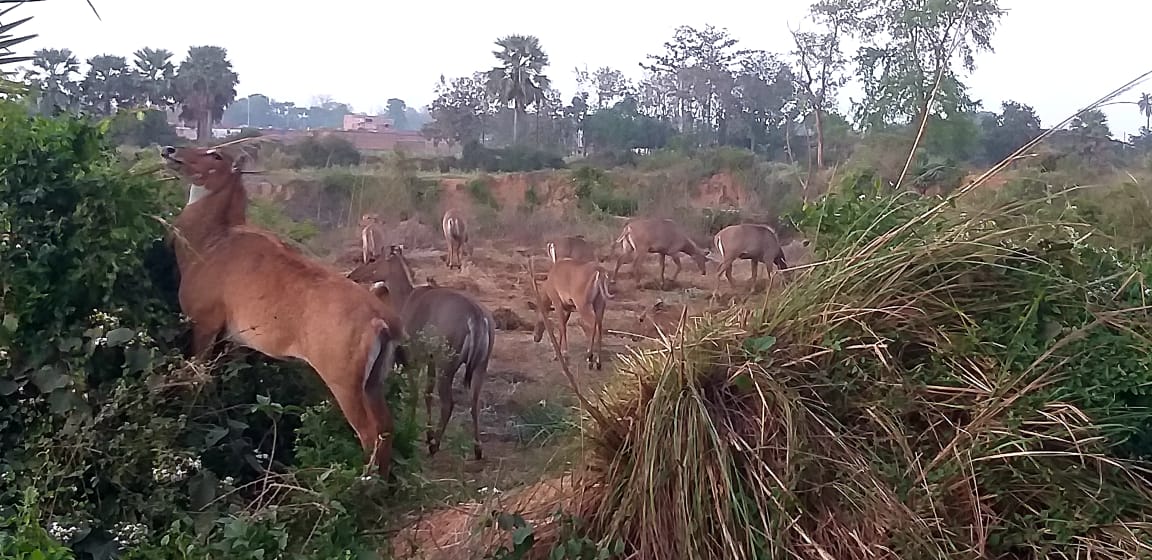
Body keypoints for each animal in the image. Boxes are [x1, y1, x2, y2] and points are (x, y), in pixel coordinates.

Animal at [162, 143, 405, 477]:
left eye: (216, 155)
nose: (170, 150)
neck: (211, 240)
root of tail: (383, 320)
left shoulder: (205, 325)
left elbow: (197, 380)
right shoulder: (236, 341)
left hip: (345, 384)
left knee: (370, 433)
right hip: (374, 382)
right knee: (387, 429)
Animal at [347, 245, 497, 458]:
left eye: (373, 259)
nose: (352, 275)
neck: (406, 298)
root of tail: (477, 317)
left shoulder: (413, 358)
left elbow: (415, 395)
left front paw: (412, 431)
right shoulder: (430, 360)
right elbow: (427, 394)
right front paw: (427, 434)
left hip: (447, 364)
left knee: (448, 402)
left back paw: (435, 445)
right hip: (480, 366)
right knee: (474, 402)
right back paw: (477, 449)